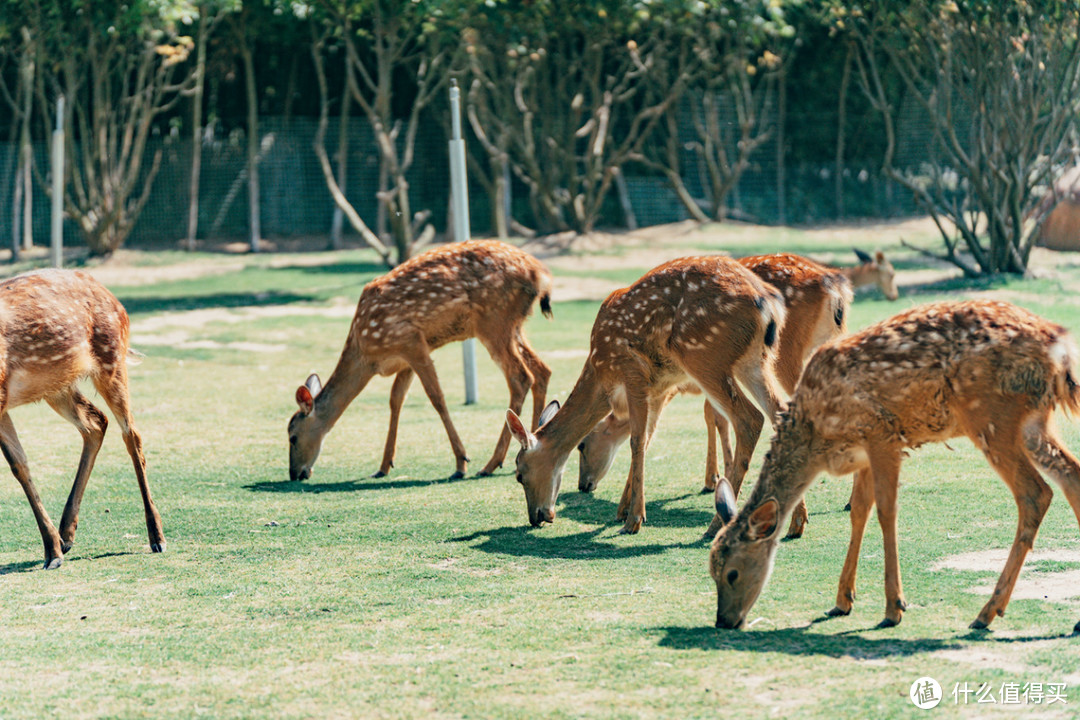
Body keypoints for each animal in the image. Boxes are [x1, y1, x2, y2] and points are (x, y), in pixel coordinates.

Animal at [0, 269, 164, 569]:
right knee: (96, 422)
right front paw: (52, 549)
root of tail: (114, 298)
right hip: (57, 385)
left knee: (131, 434)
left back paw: (156, 537)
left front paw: (51, 552)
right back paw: (66, 535)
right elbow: (19, 464)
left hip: (111, 359)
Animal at [289, 241, 548, 483]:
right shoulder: (407, 356)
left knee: (520, 377)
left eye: (292, 436)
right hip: (514, 325)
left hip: (493, 319)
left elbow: (437, 397)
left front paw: (460, 463)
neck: (366, 354)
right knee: (541, 370)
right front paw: (383, 466)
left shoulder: (410, 340)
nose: (295, 473)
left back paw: (490, 464)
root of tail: (539, 273)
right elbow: (396, 399)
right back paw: (528, 447)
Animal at [505, 255, 786, 533]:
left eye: (519, 474)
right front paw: (622, 511)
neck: (600, 375)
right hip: (754, 361)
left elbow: (637, 441)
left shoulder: (632, 373)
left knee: (750, 419)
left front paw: (633, 520)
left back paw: (716, 524)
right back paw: (789, 522)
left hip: (704, 356)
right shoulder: (659, 387)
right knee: (780, 411)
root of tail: (768, 303)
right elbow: (648, 437)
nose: (536, 517)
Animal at [574, 253, 851, 539]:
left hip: (758, 356)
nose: (583, 485)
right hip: (773, 358)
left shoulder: (658, 385)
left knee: (764, 416)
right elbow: (705, 419)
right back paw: (800, 518)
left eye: (582, 445)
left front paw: (628, 512)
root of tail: (836, 287)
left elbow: (649, 434)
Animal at [708, 297, 1080, 630]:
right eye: (711, 569)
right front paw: (843, 600)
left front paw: (893, 607)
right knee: (1070, 475)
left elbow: (886, 511)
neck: (817, 437)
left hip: (991, 416)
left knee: (1035, 493)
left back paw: (986, 612)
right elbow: (859, 511)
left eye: (732, 573)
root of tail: (1059, 348)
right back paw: (1065, 621)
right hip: (1033, 421)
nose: (724, 621)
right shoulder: (860, 452)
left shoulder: (881, 435)